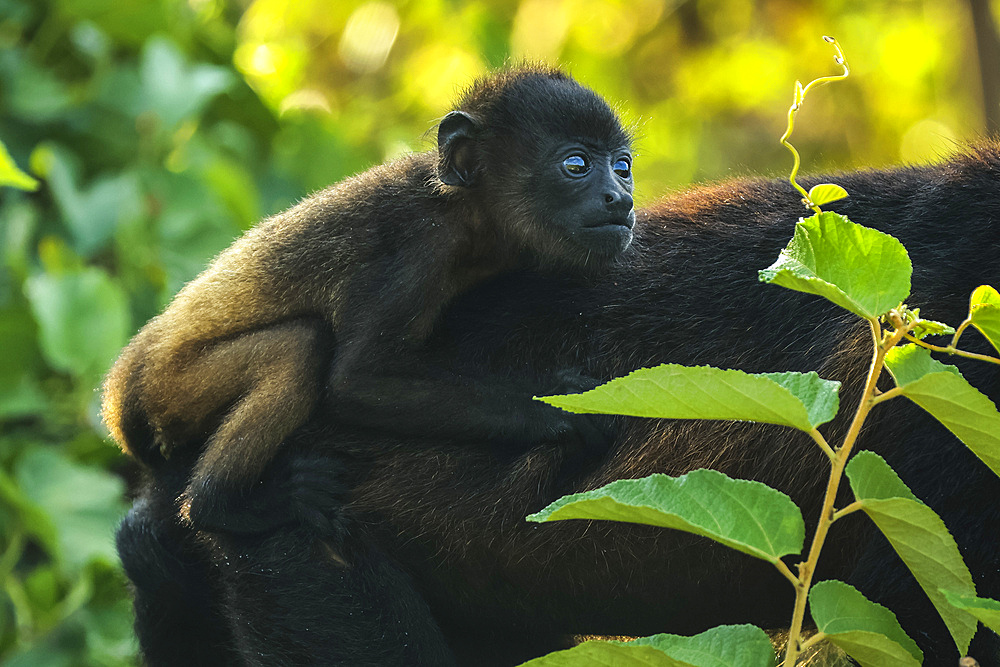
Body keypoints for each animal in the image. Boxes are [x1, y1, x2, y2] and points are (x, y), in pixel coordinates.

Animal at [101, 68, 632, 536]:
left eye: (623, 166)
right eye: (576, 165)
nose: (621, 199)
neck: (469, 214)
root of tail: (122, 390)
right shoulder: (413, 251)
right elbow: (356, 382)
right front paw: (559, 408)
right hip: (173, 390)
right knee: (300, 348)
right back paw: (223, 506)